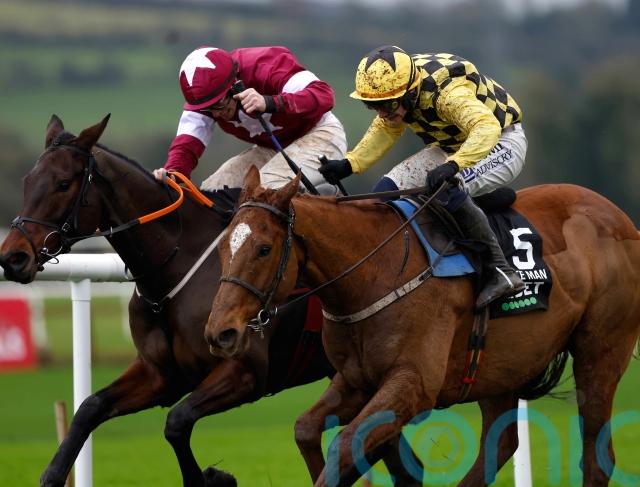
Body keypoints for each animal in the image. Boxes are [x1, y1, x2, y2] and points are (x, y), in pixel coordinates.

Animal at [204, 165, 640, 486]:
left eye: (263, 249)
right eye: (224, 245)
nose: (220, 333)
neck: (371, 273)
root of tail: (619, 217)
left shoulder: (414, 382)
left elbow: (346, 444)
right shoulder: (357, 379)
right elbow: (306, 429)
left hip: (601, 350)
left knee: (597, 453)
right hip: (499, 366)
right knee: (499, 444)